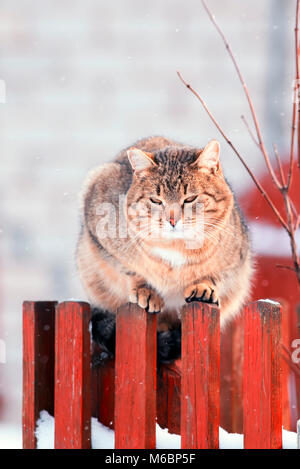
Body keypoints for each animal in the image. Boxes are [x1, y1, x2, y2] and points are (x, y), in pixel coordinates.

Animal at [76, 135, 252, 362]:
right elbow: (129, 269)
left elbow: (216, 275)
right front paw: (144, 289)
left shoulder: (237, 260)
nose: (172, 220)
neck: (176, 246)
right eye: (155, 200)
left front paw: (203, 286)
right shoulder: (100, 236)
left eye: (190, 198)